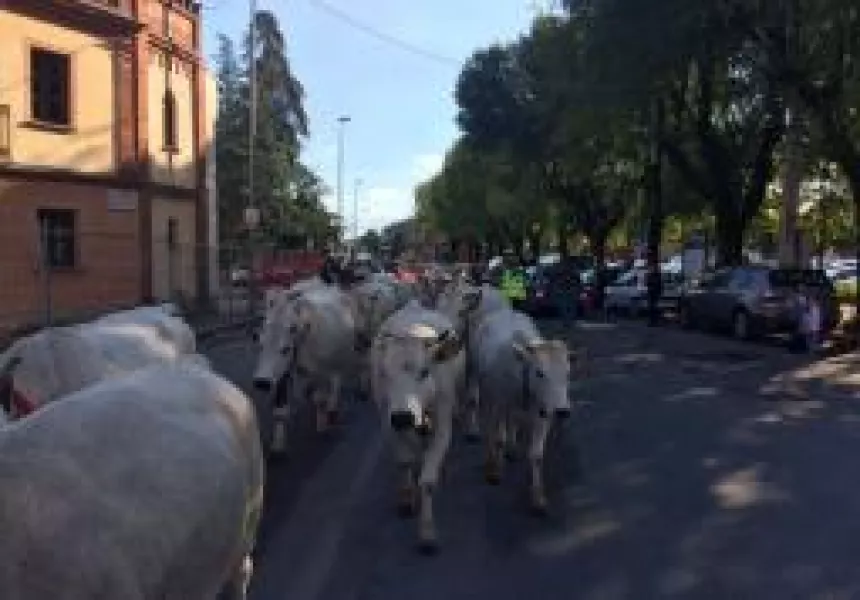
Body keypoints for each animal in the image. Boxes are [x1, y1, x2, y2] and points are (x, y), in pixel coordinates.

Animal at [252, 284, 356, 448]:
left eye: (285, 349)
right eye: (260, 345)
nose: (262, 382)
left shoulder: (320, 371)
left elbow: (320, 398)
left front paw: (322, 425)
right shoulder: (283, 375)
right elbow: (280, 410)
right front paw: (278, 444)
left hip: (343, 356)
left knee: (336, 380)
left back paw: (331, 408)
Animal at [370, 302, 464, 552]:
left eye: (424, 371)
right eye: (385, 373)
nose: (403, 417)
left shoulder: (443, 422)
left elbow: (428, 481)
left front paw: (427, 532)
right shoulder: (387, 421)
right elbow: (404, 461)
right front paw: (406, 498)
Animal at [470, 310, 572, 516]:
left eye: (567, 373)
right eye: (540, 373)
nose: (562, 411)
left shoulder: (543, 414)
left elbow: (536, 454)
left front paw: (538, 497)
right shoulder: (497, 403)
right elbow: (496, 437)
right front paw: (493, 471)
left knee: (513, 420)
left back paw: (512, 448)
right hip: (480, 382)